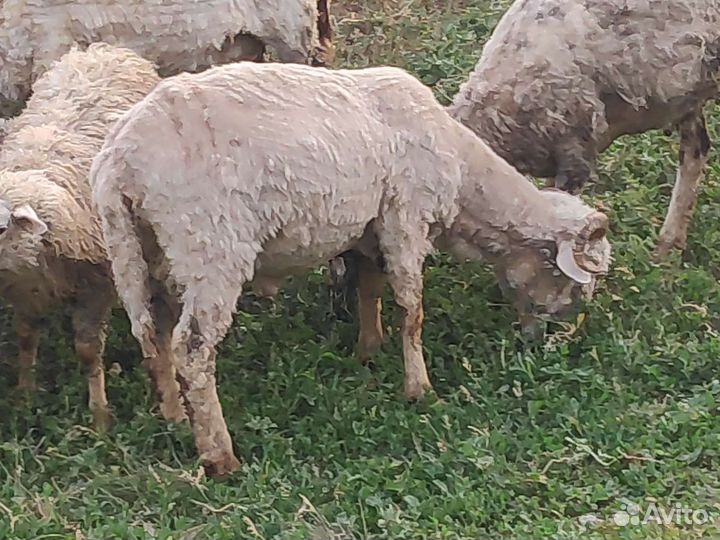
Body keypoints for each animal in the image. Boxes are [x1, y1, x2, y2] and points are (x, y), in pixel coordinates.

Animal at [0, 43, 186, 430]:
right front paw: (25, 393)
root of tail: (104, 48)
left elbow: (87, 352)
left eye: (0, 226)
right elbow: (25, 335)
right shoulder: (24, 289)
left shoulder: (96, 285)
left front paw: (99, 416)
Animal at [90, 61, 612, 476]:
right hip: (208, 246)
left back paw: (175, 415)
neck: (464, 180)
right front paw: (419, 389)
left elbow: (369, 287)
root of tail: (120, 166)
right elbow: (411, 306)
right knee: (193, 348)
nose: (544, 343)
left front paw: (368, 348)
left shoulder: (369, 226)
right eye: (573, 284)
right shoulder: (406, 215)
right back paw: (220, 455)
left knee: (151, 332)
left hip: (138, 249)